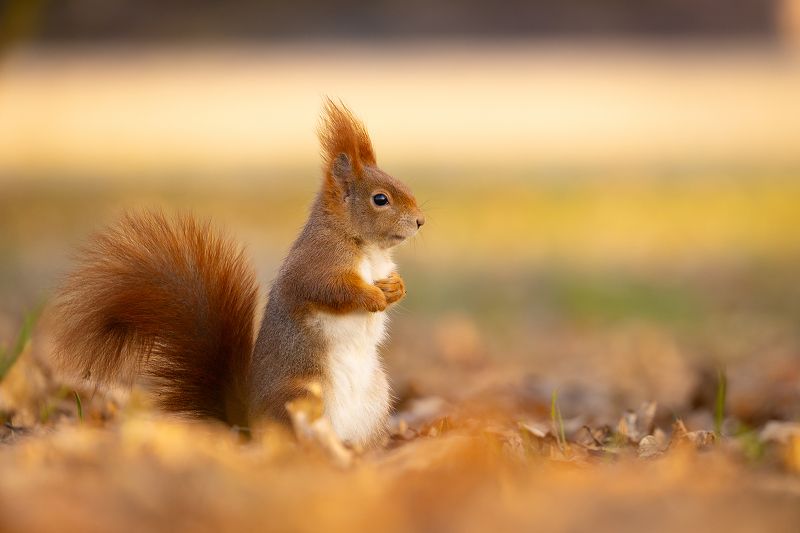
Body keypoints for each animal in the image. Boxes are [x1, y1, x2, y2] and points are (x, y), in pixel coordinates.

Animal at [51, 99, 425, 448]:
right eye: (380, 199)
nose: (421, 220)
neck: (369, 249)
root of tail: (248, 425)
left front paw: (395, 288)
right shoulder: (315, 263)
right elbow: (329, 289)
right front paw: (372, 296)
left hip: (375, 399)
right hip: (302, 394)